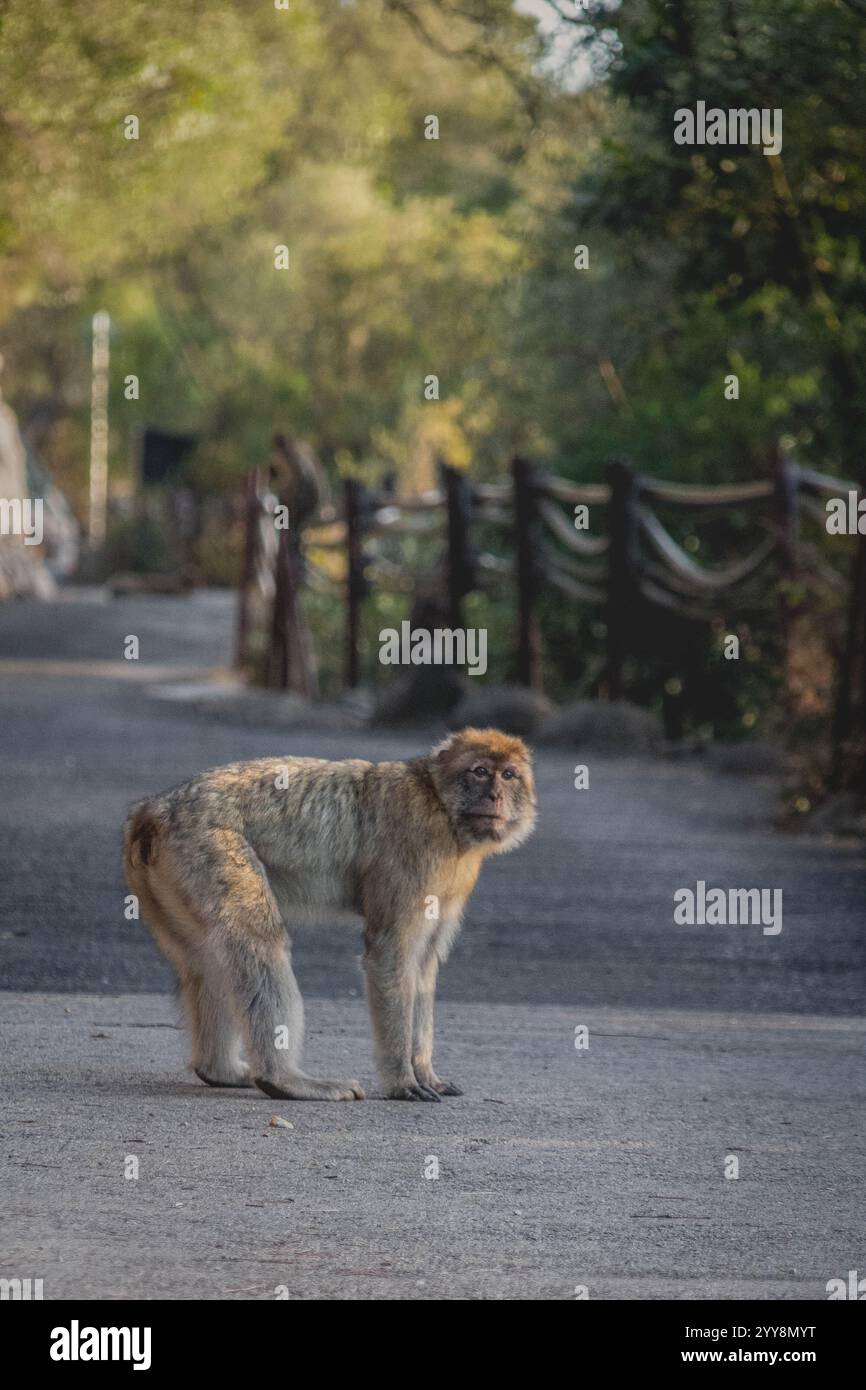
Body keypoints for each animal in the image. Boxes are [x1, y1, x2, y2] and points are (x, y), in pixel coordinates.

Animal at [123, 728, 536, 1102]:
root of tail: (155, 809)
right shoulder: (412, 860)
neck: (441, 806)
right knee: (259, 944)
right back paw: (283, 1080)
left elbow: (423, 967)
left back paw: (219, 1071)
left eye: (508, 774)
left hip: (172, 880)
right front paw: (402, 1081)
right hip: (209, 849)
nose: (496, 794)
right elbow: (390, 957)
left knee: (209, 959)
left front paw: (426, 1073)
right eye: (480, 771)